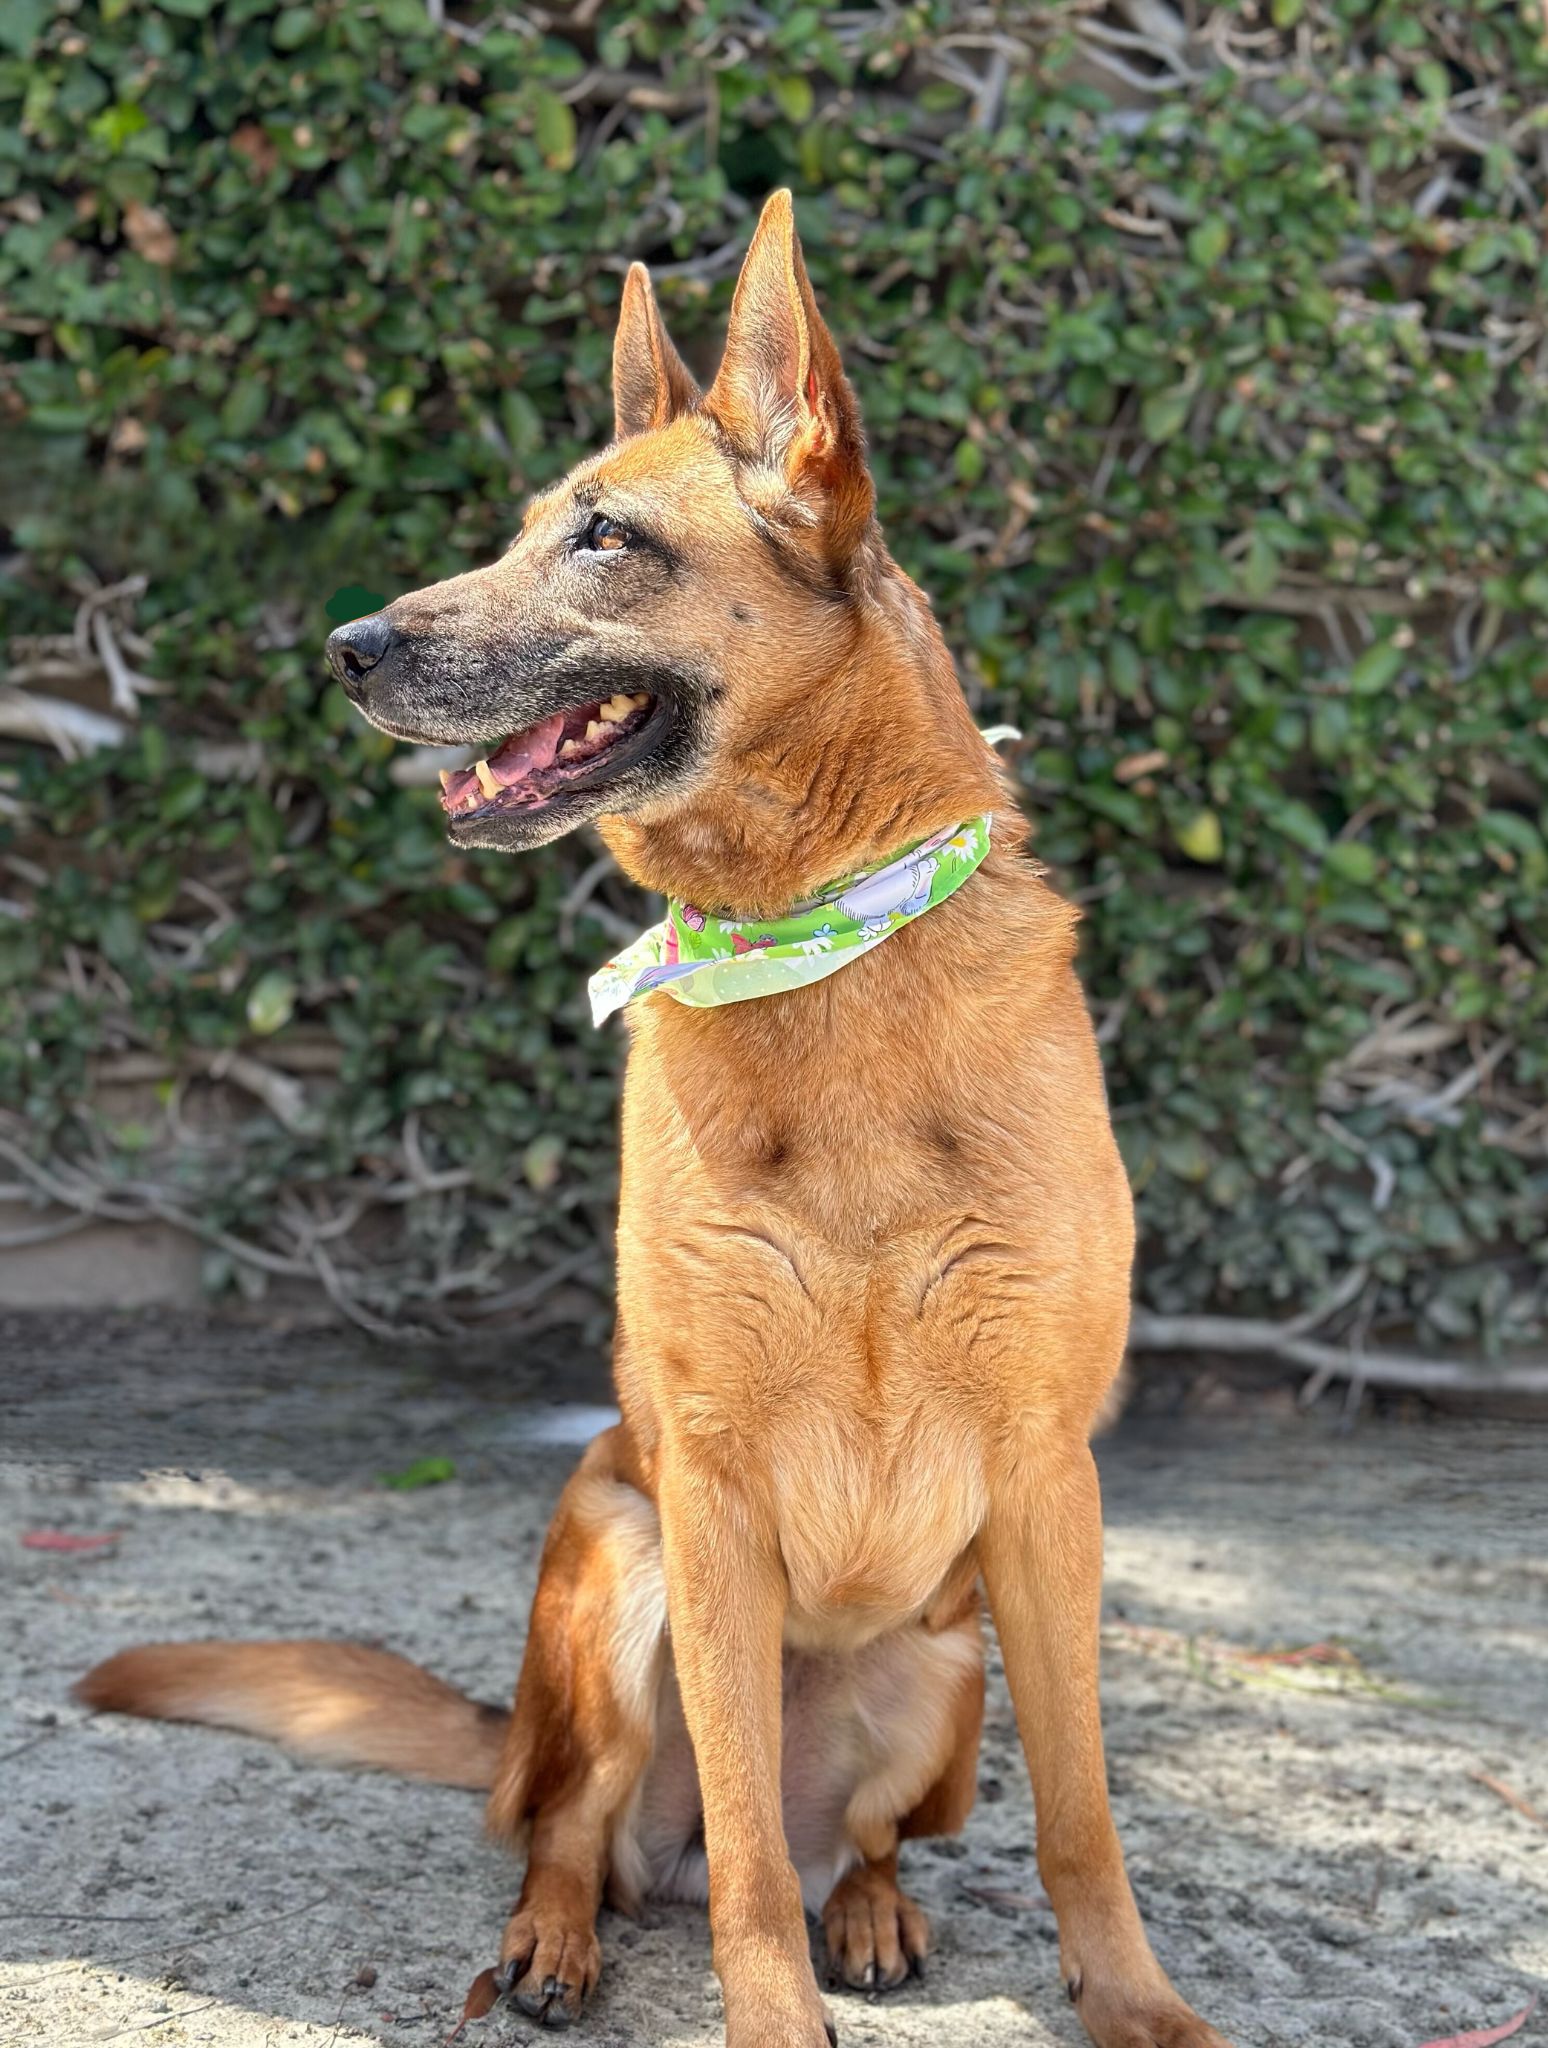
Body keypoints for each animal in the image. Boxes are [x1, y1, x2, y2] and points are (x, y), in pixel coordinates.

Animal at [81, 192, 1236, 2048]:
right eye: (522, 531)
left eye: (604, 539)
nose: (347, 649)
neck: (820, 957)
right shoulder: (703, 1482)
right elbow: (750, 1859)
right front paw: (767, 2015)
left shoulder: (1048, 1490)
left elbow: (1083, 1812)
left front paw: (1130, 1998)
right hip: (617, 1565)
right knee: (580, 1835)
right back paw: (554, 1943)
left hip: (942, 1668)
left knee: (858, 1840)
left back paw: (878, 1912)